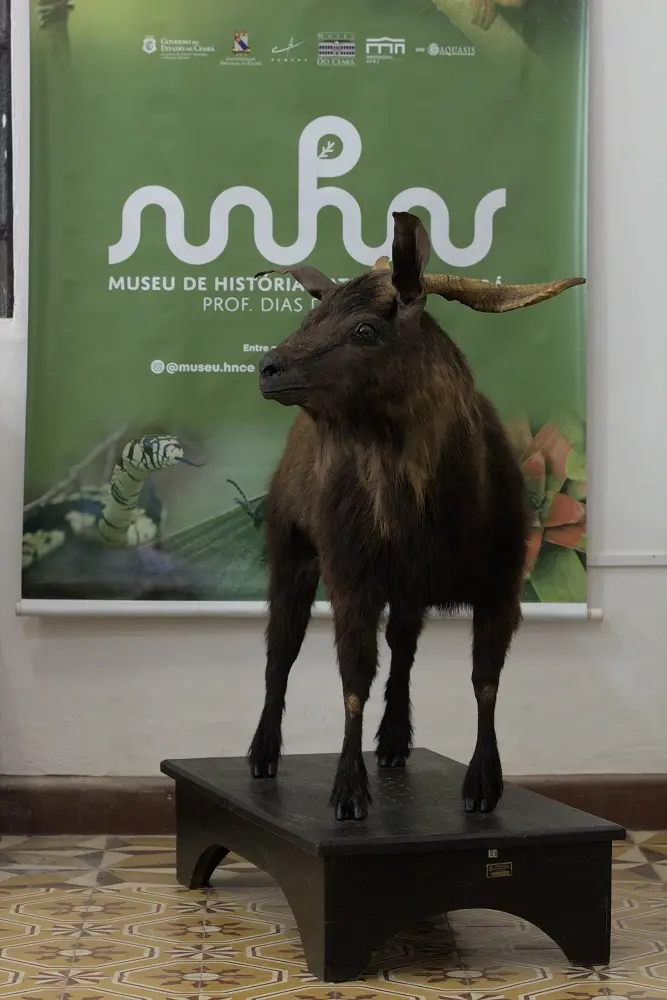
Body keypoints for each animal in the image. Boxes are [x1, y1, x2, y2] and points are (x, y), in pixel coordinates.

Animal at [247, 211, 585, 821]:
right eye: (312, 316)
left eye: (364, 330)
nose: (268, 368)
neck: (434, 513)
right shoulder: (352, 577)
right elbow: (353, 677)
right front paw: (348, 794)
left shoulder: (501, 584)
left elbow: (485, 680)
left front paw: (483, 785)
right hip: (291, 551)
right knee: (280, 649)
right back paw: (262, 756)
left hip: (404, 591)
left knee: (402, 649)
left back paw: (395, 744)